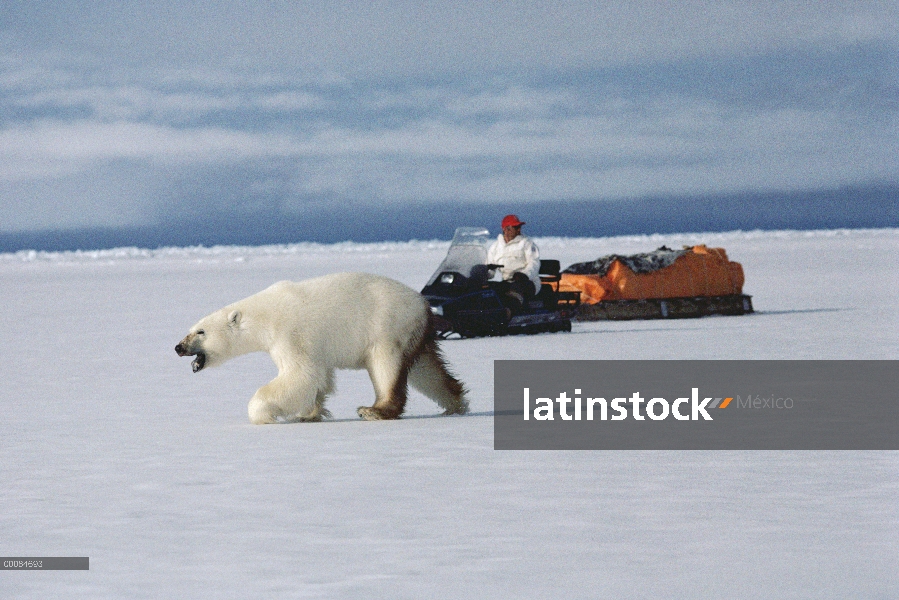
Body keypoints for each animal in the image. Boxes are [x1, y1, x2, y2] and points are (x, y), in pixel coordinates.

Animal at [177, 272, 472, 422]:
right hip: (412, 334)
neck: (263, 316)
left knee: (385, 367)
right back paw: (455, 404)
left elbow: (300, 374)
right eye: (190, 328)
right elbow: (320, 378)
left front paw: (265, 413)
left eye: (200, 331)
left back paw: (374, 410)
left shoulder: (290, 334)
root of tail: (424, 306)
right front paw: (308, 414)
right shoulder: (313, 346)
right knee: (427, 371)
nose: (178, 347)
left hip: (386, 328)